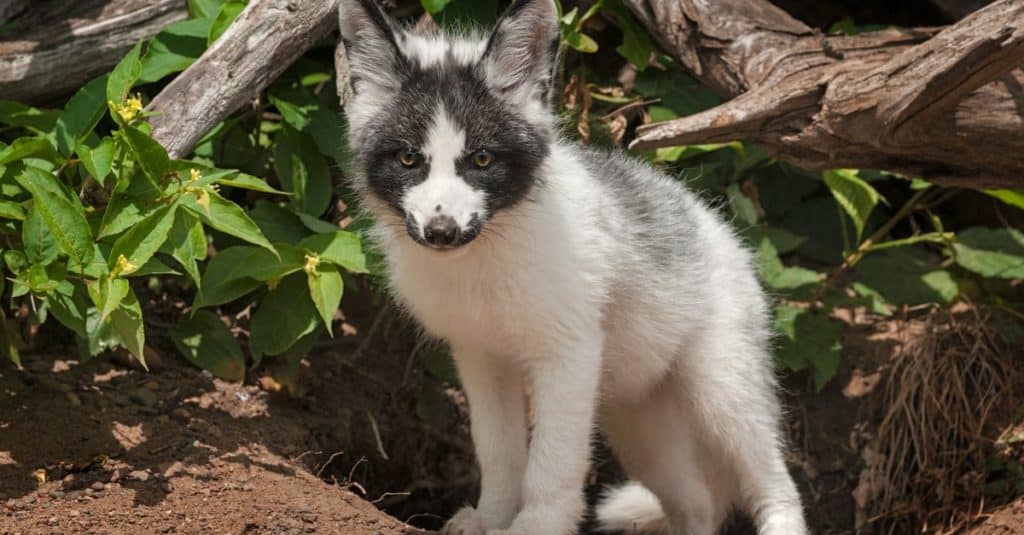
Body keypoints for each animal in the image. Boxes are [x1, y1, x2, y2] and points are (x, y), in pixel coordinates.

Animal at [335, 1, 806, 532]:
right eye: (408, 159)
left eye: (482, 159)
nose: (442, 232)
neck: (484, 262)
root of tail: (717, 225)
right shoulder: (482, 358)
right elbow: (498, 453)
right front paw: (490, 518)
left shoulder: (569, 354)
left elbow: (552, 463)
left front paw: (536, 526)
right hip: (636, 422)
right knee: (698, 503)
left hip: (723, 391)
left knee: (776, 484)